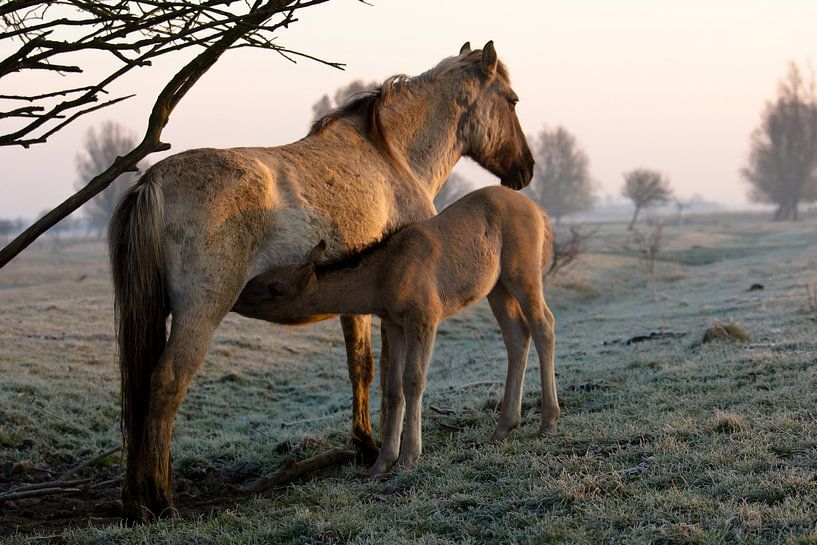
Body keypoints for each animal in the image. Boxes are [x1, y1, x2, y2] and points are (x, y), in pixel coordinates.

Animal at [242, 185, 556, 474]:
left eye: (275, 287)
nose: (240, 294)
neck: (382, 277)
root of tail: (541, 214)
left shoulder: (423, 317)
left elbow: (413, 380)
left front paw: (408, 457)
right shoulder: (393, 322)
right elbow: (393, 387)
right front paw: (381, 463)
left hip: (523, 274)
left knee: (544, 326)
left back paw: (548, 421)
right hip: (497, 287)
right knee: (517, 336)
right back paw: (504, 427)